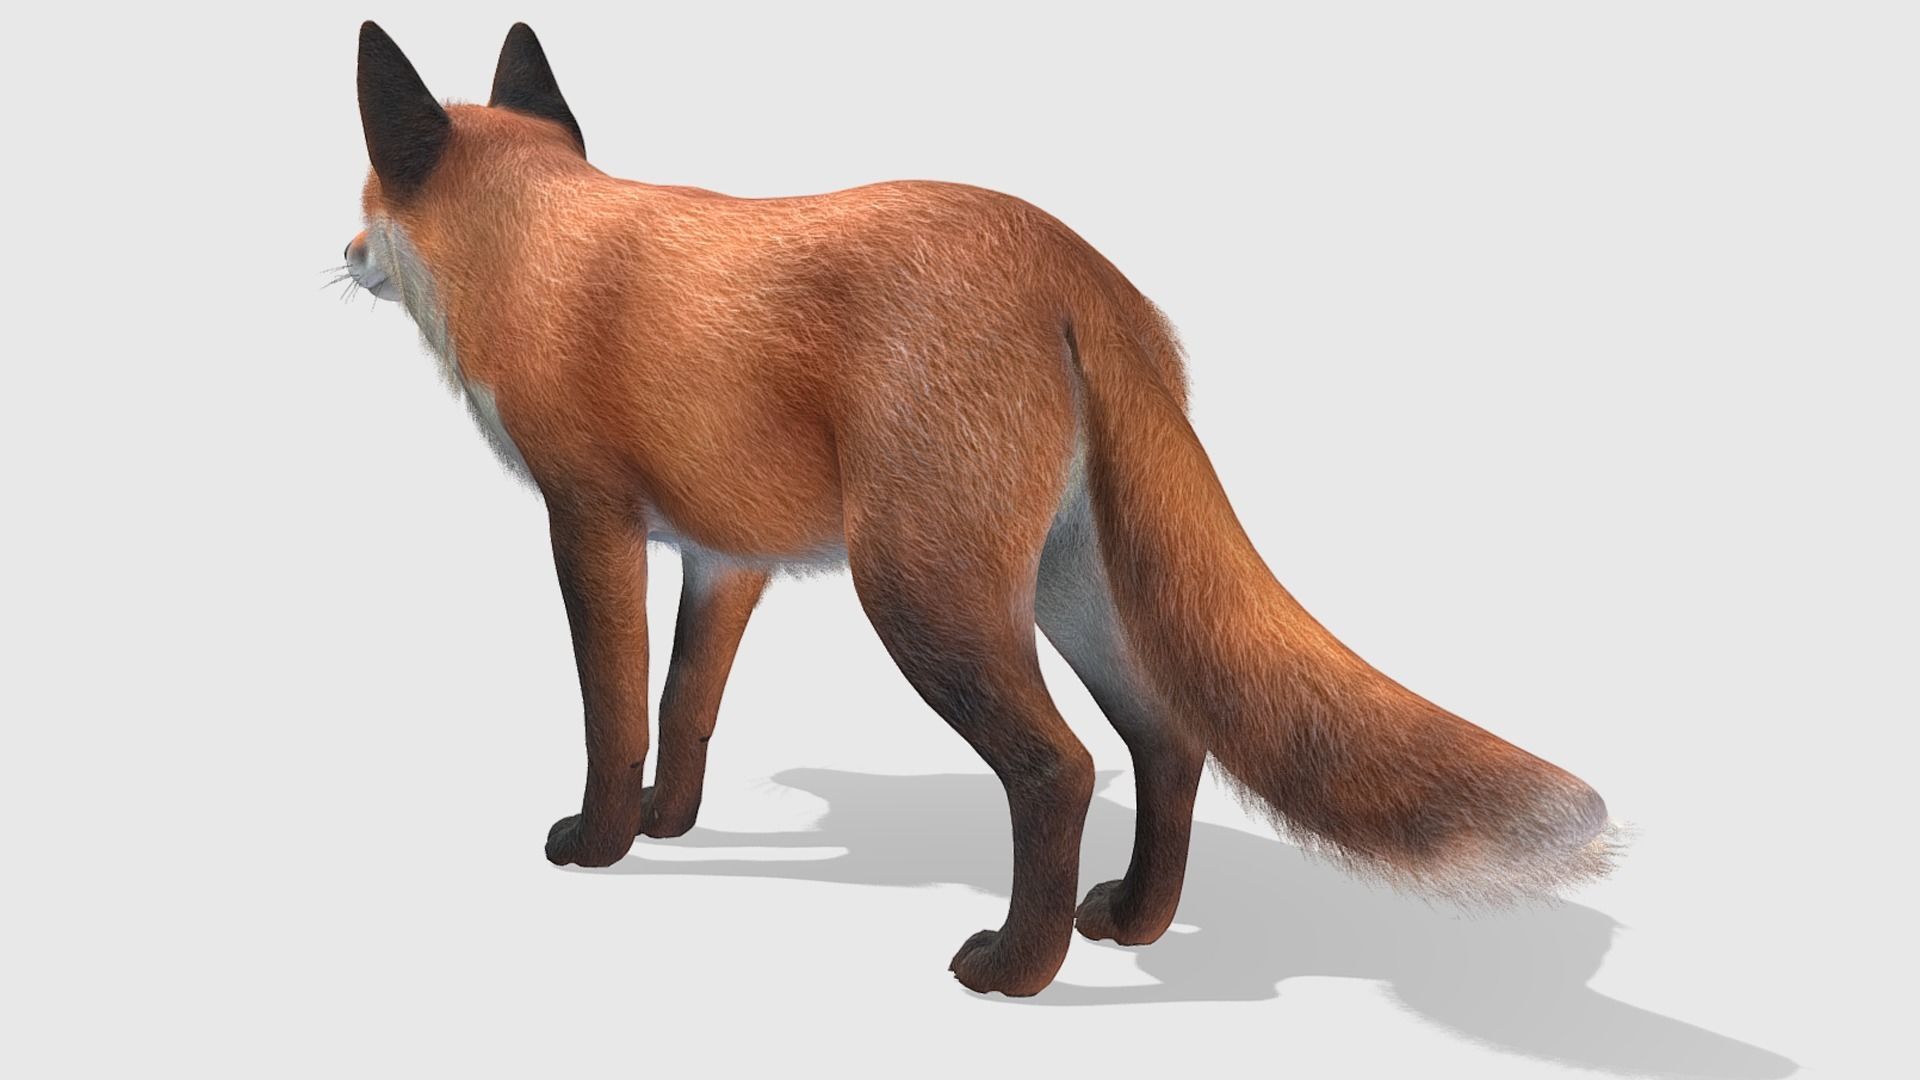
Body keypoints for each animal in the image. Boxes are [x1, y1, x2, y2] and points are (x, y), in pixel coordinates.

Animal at [342, 21, 1620, 996]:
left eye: (366, 195)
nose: (345, 251)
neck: (541, 256)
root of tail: (1070, 264)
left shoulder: (592, 522)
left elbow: (612, 711)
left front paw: (602, 844)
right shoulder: (725, 554)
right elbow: (686, 706)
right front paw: (671, 823)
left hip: (922, 597)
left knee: (1061, 767)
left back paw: (1020, 969)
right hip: (1072, 594)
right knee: (1168, 735)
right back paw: (1135, 921)